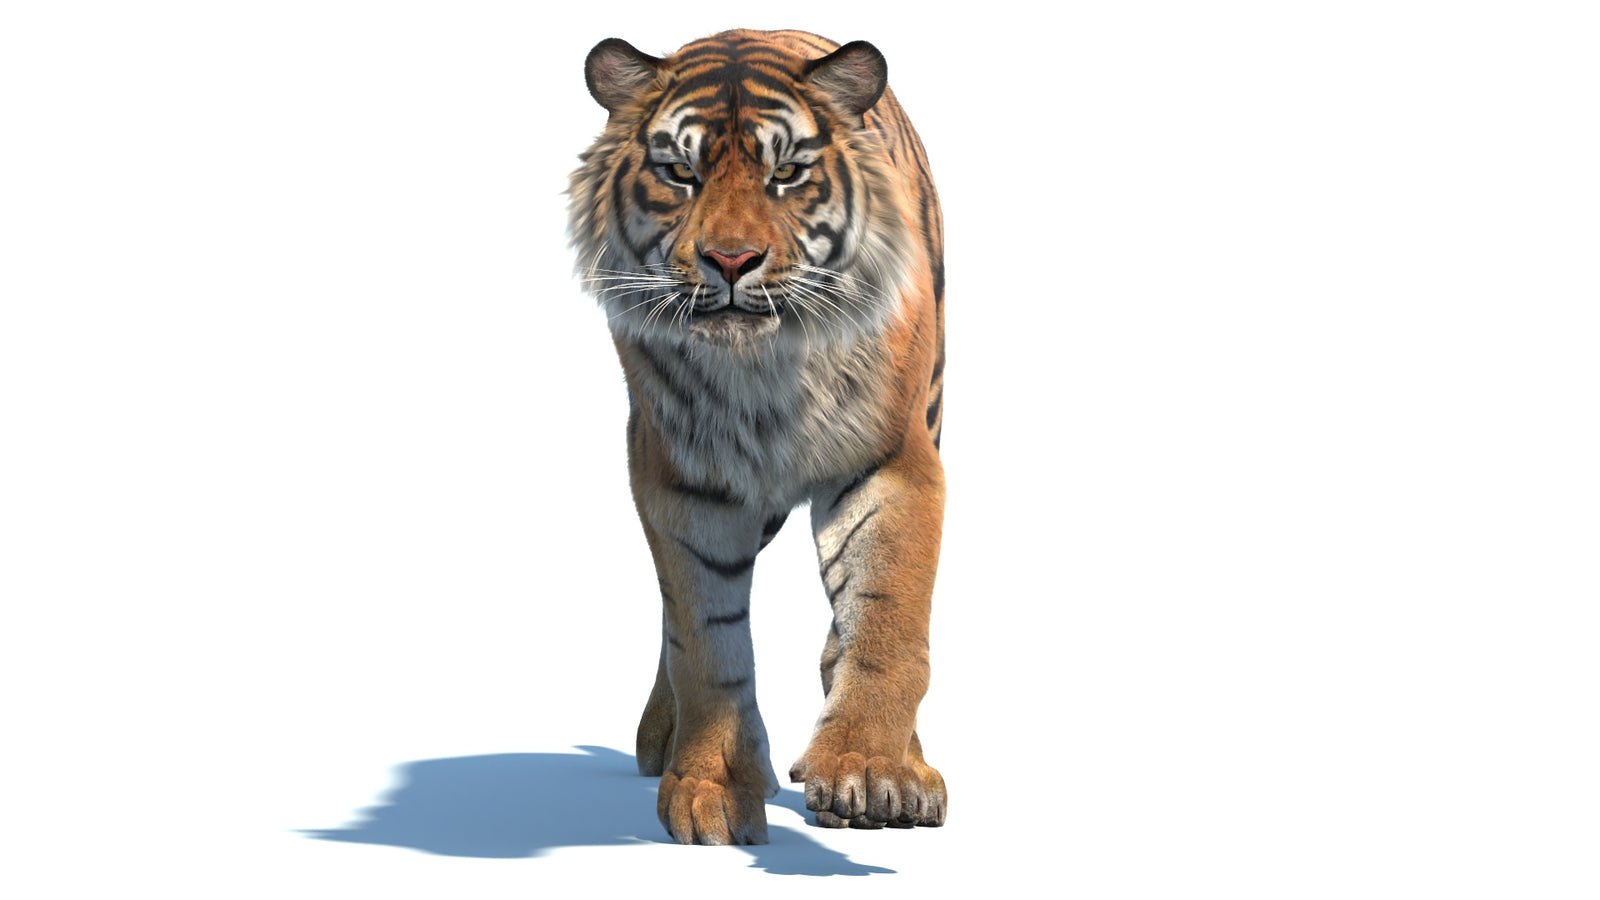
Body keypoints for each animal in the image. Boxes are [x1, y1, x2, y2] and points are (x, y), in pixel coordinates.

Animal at [567, 28, 947, 845]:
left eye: (788, 173)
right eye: (680, 173)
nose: (732, 261)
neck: (764, 372)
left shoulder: (892, 460)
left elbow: (887, 616)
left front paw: (871, 772)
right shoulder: (682, 478)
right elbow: (704, 637)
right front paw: (711, 788)